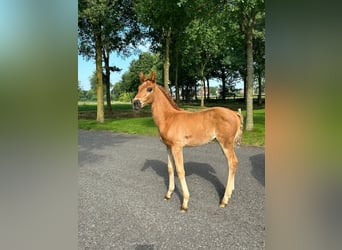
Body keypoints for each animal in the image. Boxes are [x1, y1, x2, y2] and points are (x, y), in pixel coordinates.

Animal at [132, 71, 243, 212]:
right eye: (138, 88)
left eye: (149, 89)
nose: (135, 103)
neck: (168, 118)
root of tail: (235, 113)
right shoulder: (168, 147)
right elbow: (170, 168)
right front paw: (168, 194)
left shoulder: (177, 147)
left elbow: (180, 170)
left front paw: (184, 203)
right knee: (233, 163)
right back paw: (230, 192)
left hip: (226, 144)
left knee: (232, 162)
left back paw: (224, 200)